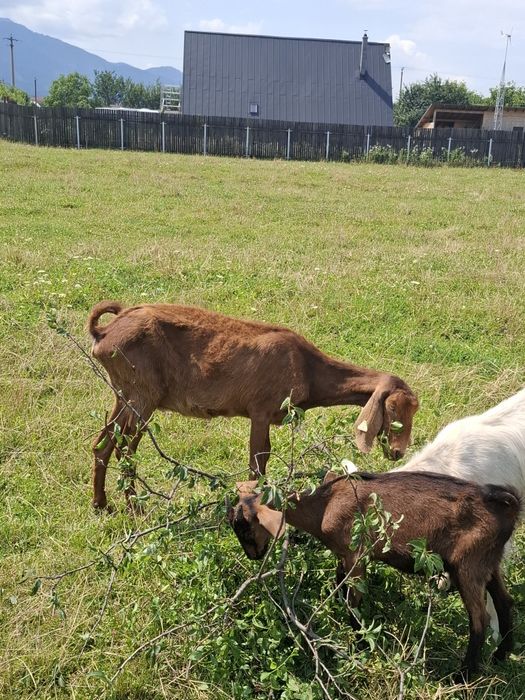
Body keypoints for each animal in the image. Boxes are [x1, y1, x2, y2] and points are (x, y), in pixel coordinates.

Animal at [87, 301, 419, 509]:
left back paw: (102, 504)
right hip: (143, 394)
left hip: (123, 392)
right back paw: (135, 508)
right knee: (125, 447)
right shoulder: (261, 410)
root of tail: (103, 334)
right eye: (391, 410)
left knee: (103, 442)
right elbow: (259, 460)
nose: (397, 451)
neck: (307, 368)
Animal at [229, 472, 519, 677]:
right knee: (505, 602)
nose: (253, 556)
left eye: (243, 526)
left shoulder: (355, 555)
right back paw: (500, 656)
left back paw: (463, 676)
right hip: (488, 562)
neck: (325, 504)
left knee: (480, 618)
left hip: (467, 565)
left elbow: (353, 602)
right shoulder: (345, 557)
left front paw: (359, 647)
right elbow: (339, 583)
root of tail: (505, 505)